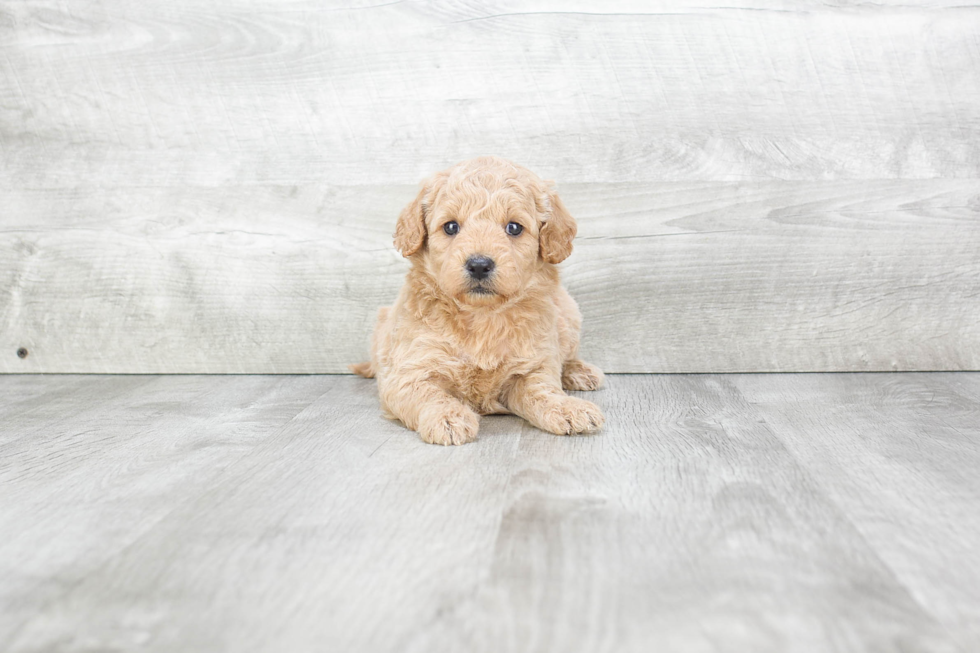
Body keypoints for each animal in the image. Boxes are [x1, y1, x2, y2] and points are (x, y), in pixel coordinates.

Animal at [348, 156, 600, 446]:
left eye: (514, 227)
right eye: (451, 227)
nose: (479, 265)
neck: (482, 316)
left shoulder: (532, 366)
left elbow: (544, 391)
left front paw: (568, 408)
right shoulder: (409, 373)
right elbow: (430, 395)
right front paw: (448, 418)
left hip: (568, 312)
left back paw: (579, 371)